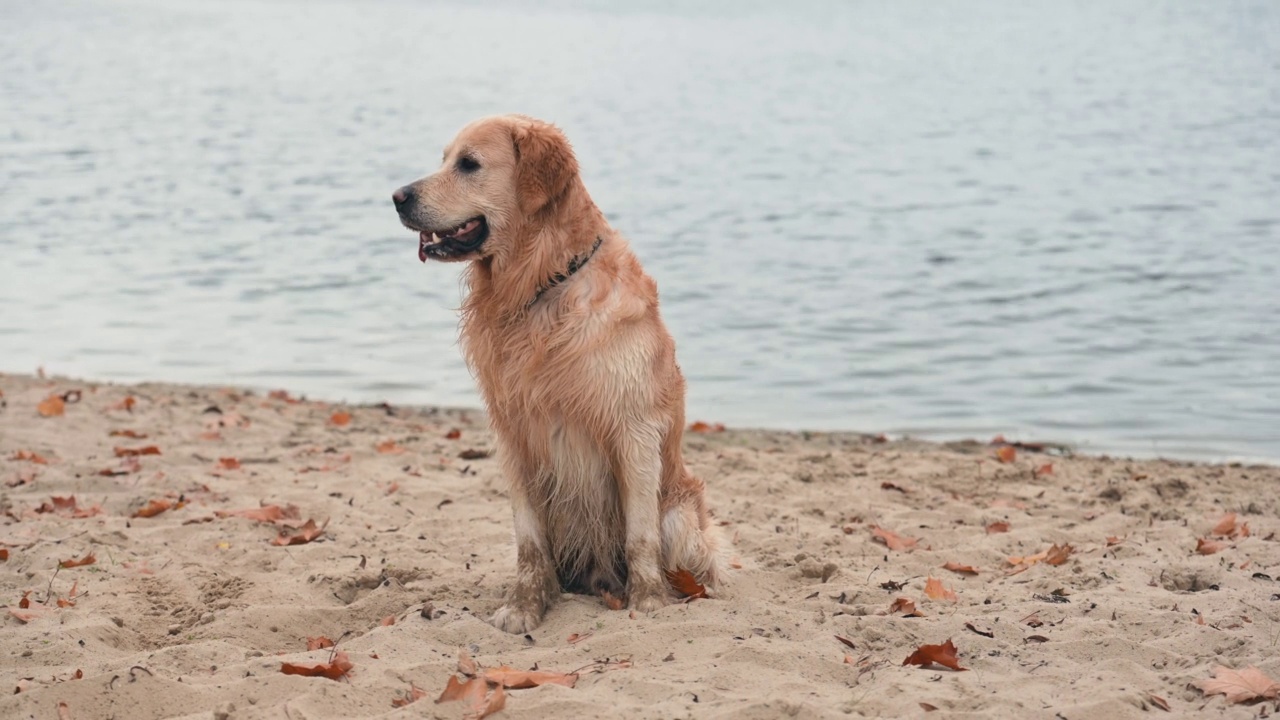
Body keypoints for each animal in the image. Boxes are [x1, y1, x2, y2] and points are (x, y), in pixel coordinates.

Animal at [394, 112, 721, 627]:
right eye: (444, 159)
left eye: (468, 164)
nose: (397, 197)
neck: (542, 285)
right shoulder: (513, 434)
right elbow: (530, 541)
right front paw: (525, 604)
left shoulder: (633, 429)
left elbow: (640, 535)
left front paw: (648, 602)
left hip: (681, 513)